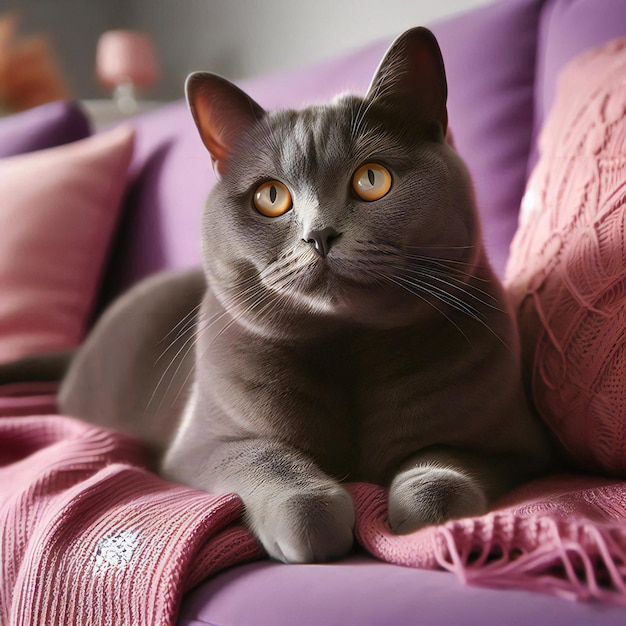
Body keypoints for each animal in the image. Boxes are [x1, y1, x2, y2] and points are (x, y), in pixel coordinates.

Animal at [57, 28, 552, 560]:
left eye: (372, 179)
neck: (349, 349)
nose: (319, 234)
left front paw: (426, 509)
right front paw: (311, 516)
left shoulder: (516, 446)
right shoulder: (202, 445)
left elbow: (446, 461)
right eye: (270, 196)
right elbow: (264, 456)